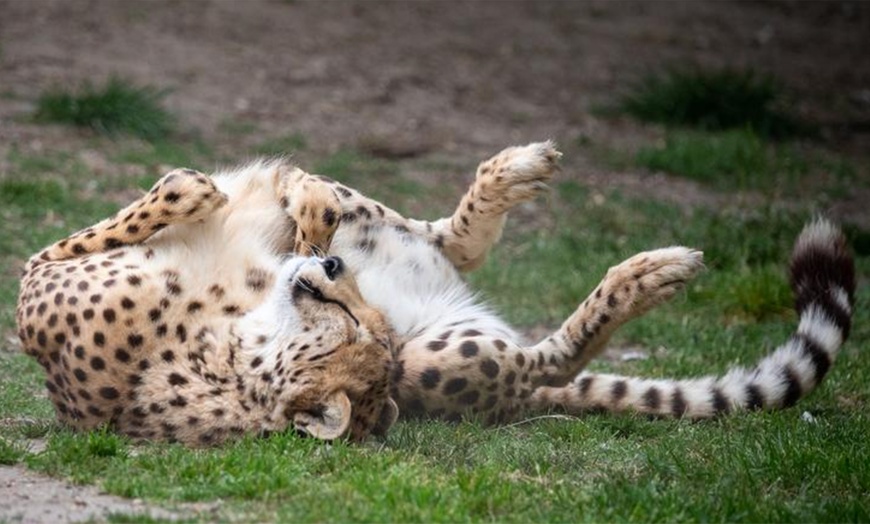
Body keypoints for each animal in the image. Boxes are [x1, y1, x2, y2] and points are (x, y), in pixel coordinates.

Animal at [17, 141, 856, 444]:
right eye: (358, 329)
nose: (333, 274)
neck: (231, 347)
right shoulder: (39, 295)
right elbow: (183, 192)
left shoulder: (37, 288)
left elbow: (197, 194)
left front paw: (295, 205)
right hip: (445, 342)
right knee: (468, 269)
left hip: (448, 346)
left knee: (525, 327)